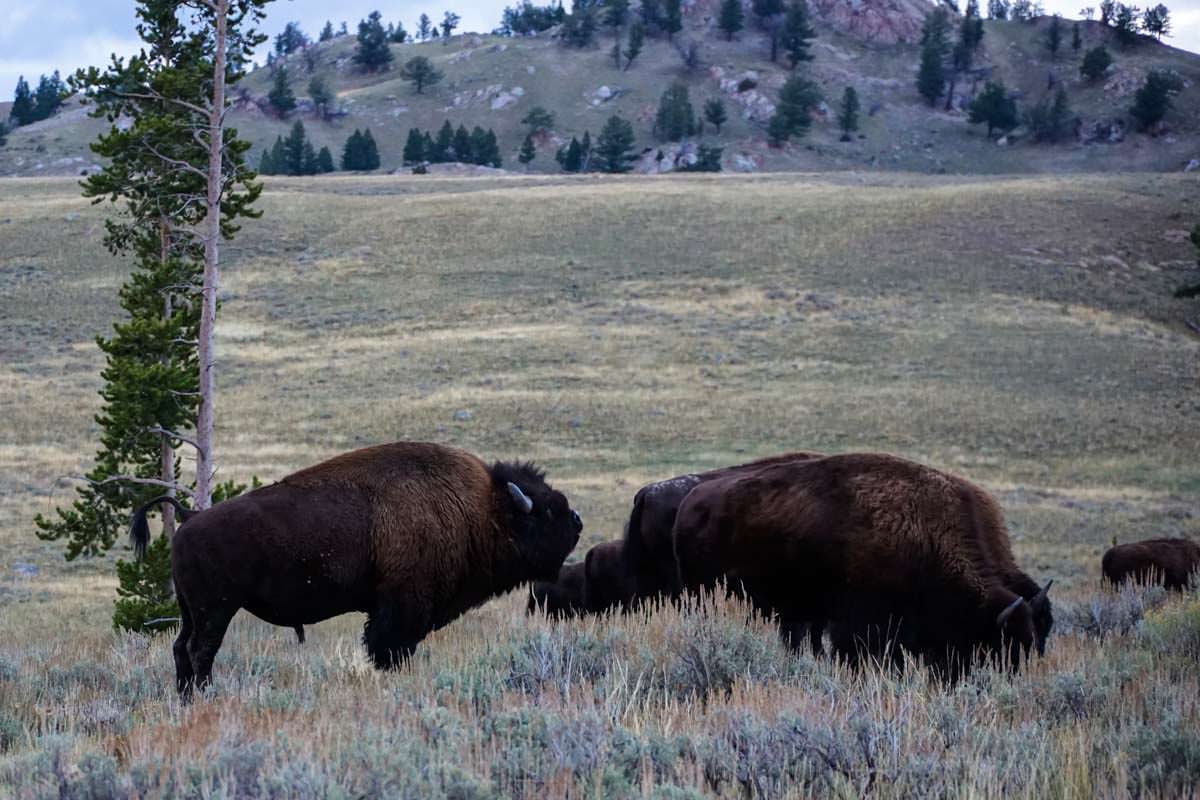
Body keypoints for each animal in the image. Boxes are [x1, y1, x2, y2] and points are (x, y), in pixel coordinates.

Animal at [130, 443, 580, 700]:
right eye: (545, 512)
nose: (577, 522)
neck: (481, 507)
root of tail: (189, 519)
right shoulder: (401, 608)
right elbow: (390, 648)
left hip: (191, 610)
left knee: (181, 648)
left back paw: (186, 699)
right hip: (216, 609)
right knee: (200, 651)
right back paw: (205, 698)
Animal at [672, 453, 1056, 681]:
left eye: (1038, 639)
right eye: (996, 646)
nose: (1005, 682)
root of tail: (691, 502)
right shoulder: (858, 625)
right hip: (703, 597)